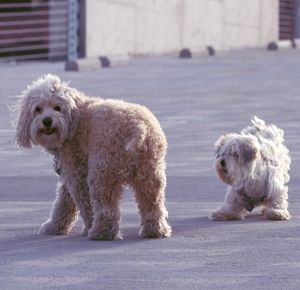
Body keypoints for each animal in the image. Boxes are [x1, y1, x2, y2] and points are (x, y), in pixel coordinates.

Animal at [15, 75, 172, 240]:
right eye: (38, 109)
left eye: (57, 107)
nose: (46, 120)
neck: (75, 118)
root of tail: (138, 128)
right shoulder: (71, 173)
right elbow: (63, 203)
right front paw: (54, 227)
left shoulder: (76, 173)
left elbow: (84, 203)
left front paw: (86, 227)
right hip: (150, 171)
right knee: (152, 203)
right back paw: (156, 231)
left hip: (103, 170)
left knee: (106, 206)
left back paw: (100, 232)